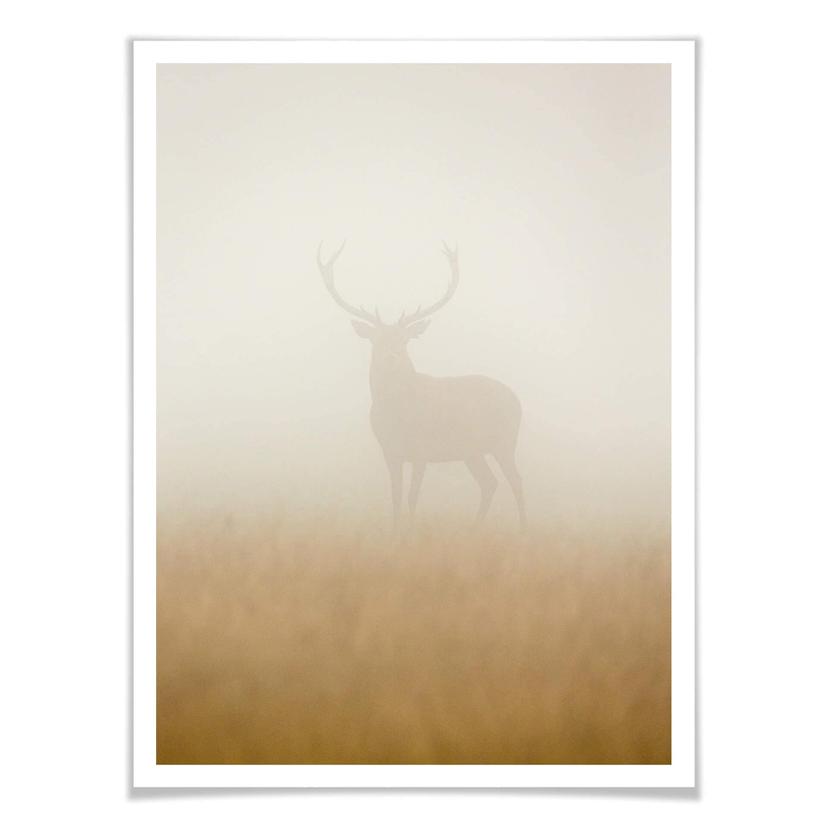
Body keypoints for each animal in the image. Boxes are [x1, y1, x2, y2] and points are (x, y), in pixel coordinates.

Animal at [317, 241, 526, 533]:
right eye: (376, 339)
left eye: (404, 340)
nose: (391, 357)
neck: (396, 414)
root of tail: (517, 400)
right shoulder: (389, 450)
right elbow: (395, 495)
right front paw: (395, 533)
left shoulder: (422, 449)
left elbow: (412, 496)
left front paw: (410, 533)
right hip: (472, 451)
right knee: (489, 483)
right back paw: (474, 529)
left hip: (505, 440)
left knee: (516, 481)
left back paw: (524, 530)